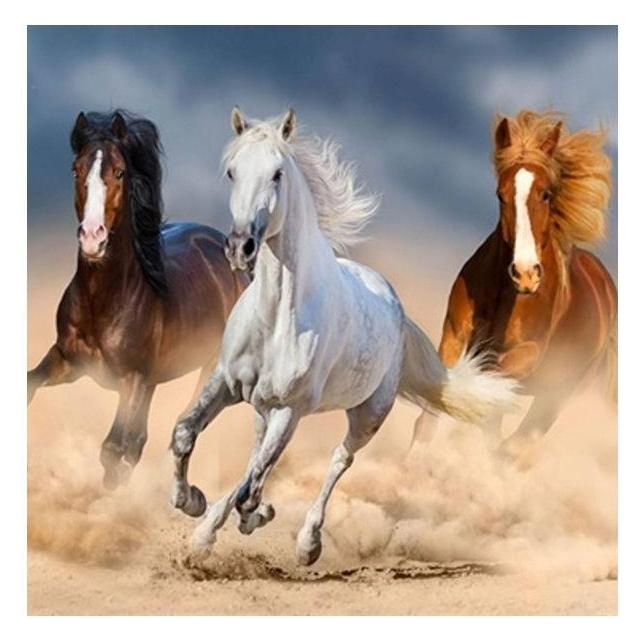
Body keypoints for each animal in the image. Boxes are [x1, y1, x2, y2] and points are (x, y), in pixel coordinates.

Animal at [27, 110, 248, 489]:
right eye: (76, 169)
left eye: (119, 171)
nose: (92, 237)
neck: (104, 300)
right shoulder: (67, 361)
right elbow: (29, 384)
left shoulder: (132, 379)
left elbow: (112, 448)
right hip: (153, 381)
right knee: (140, 440)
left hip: (206, 368)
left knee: (175, 429)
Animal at [168, 107, 518, 566]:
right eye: (232, 171)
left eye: (277, 173)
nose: (240, 246)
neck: (277, 318)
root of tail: (395, 306)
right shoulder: (226, 382)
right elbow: (185, 435)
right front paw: (191, 501)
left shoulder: (291, 409)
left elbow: (254, 483)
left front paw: (247, 517)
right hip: (263, 406)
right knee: (257, 456)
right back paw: (214, 527)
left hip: (367, 414)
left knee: (338, 459)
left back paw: (307, 543)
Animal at [411, 110, 617, 457]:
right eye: (501, 195)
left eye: (546, 193)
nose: (525, 274)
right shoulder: (453, 336)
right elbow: (433, 411)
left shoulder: (527, 355)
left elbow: (483, 380)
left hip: (557, 396)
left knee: (516, 441)